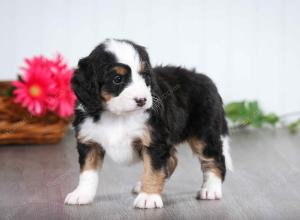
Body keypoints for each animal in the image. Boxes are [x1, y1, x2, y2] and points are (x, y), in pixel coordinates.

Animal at [64, 38, 232, 209]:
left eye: (145, 76)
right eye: (117, 79)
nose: (142, 100)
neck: (117, 115)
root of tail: (204, 78)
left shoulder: (154, 141)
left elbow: (153, 169)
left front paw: (149, 197)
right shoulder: (89, 142)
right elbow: (87, 172)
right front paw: (81, 194)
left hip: (204, 135)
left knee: (215, 160)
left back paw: (210, 190)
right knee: (172, 160)